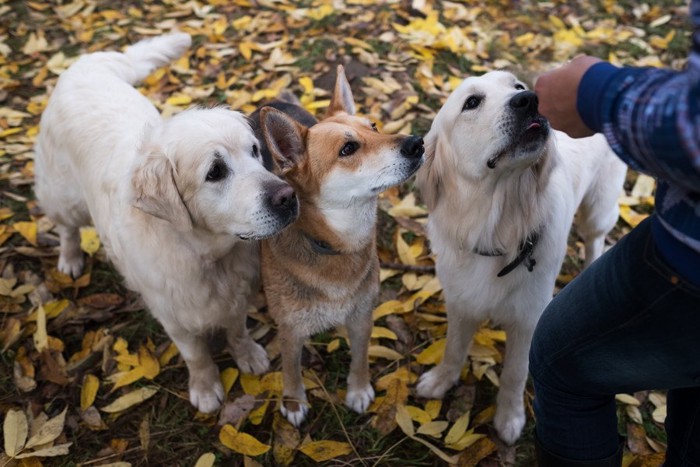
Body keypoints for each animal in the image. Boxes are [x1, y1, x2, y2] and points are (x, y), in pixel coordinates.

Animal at [35, 33, 298, 414]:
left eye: (254, 150)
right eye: (215, 172)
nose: (288, 197)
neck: (207, 256)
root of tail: (85, 63)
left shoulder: (237, 294)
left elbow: (237, 329)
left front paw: (248, 354)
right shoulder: (174, 315)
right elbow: (197, 356)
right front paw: (205, 389)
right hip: (63, 197)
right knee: (67, 227)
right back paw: (69, 259)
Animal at [253, 66, 426, 428]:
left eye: (373, 126)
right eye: (348, 149)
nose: (417, 142)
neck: (333, 247)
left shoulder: (362, 316)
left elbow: (360, 357)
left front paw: (358, 390)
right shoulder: (290, 330)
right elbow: (291, 369)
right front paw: (293, 401)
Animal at [412, 71, 628, 444]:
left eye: (516, 87)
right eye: (472, 102)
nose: (529, 100)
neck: (498, 229)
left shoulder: (528, 320)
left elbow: (515, 374)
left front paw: (509, 419)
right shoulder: (460, 303)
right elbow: (454, 349)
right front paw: (440, 381)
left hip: (599, 209)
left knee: (595, 241)